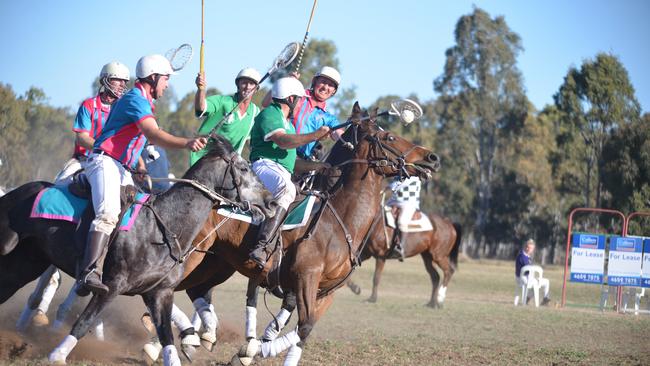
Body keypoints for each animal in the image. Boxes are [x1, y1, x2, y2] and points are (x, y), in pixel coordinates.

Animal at [0, 137, 274, 366]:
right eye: (244, 168)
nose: (270, 201)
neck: (163, 227)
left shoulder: (159, 293)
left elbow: (167, 338)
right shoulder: (111, 286)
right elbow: (84, 321)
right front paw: (57, 354)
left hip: (26, 264)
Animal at [167, 103, 440, 366]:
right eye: (390, 137)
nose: (432, 157)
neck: (339, 219)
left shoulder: (326, 290)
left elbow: (304, 330)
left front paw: (250, 350)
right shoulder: (305, 277)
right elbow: (303, 325)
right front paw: (254, 349)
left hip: (218, 263)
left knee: (195, 290)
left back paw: (199, 336)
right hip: (193, 257)